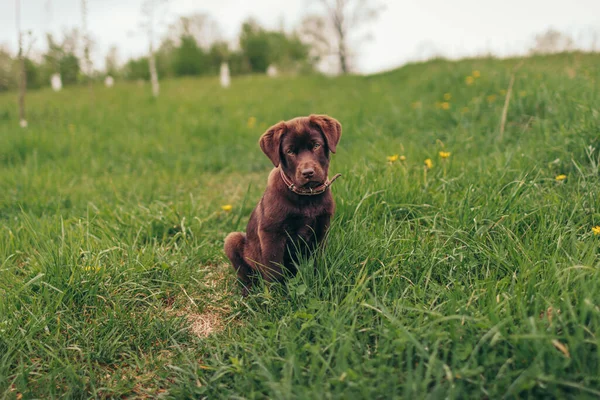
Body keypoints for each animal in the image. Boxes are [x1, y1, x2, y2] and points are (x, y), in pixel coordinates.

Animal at [224, 114, 342, 296]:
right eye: (290, 151)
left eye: (316, 145)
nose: (308, 173)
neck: (306, 197)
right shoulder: (271, 233)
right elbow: (274, 269)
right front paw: (276, 297)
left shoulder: (322, 227)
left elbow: (318, 259)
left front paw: (320, 280)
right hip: (233, 240)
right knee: (247, 276)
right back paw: (248, 291)